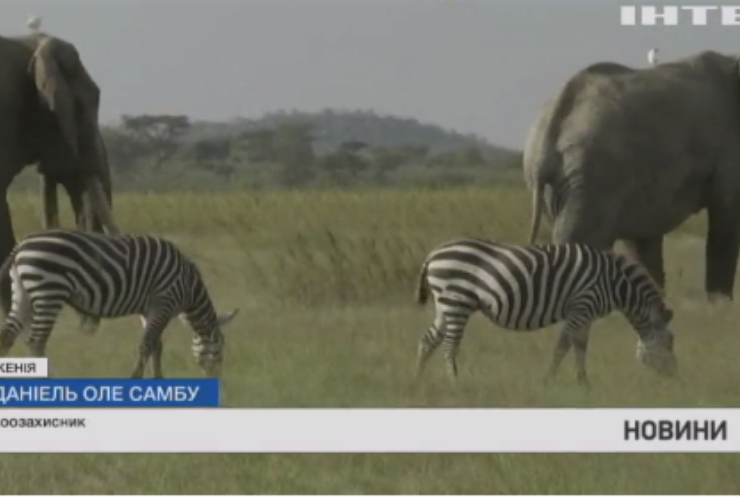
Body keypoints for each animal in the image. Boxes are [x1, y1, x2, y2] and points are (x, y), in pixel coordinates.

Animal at [0, 229, 238, 376]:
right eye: (220, 350)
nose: (216, 380)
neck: (188, 286)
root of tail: (21, 245)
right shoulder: (164, 302)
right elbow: (147, 344)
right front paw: (135, 379)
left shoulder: (149, 309)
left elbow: (156, 345)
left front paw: (158, 379)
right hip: (49, 291)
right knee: (36, 342)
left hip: (23, 292)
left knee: (7, 337)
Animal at [414, 238, 680, 386]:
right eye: (670, 341)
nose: (675, 378)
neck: (615, 284)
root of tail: (433, 254)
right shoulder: (581, 307)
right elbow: (563, 346)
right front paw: (548, 380)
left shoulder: (587, 314)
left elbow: (580, 346)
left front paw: (584, 383)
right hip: (457, 300)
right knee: (449, 345)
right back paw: (454, 382)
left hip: (444, 305)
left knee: (428, 340)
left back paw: (417, 379)